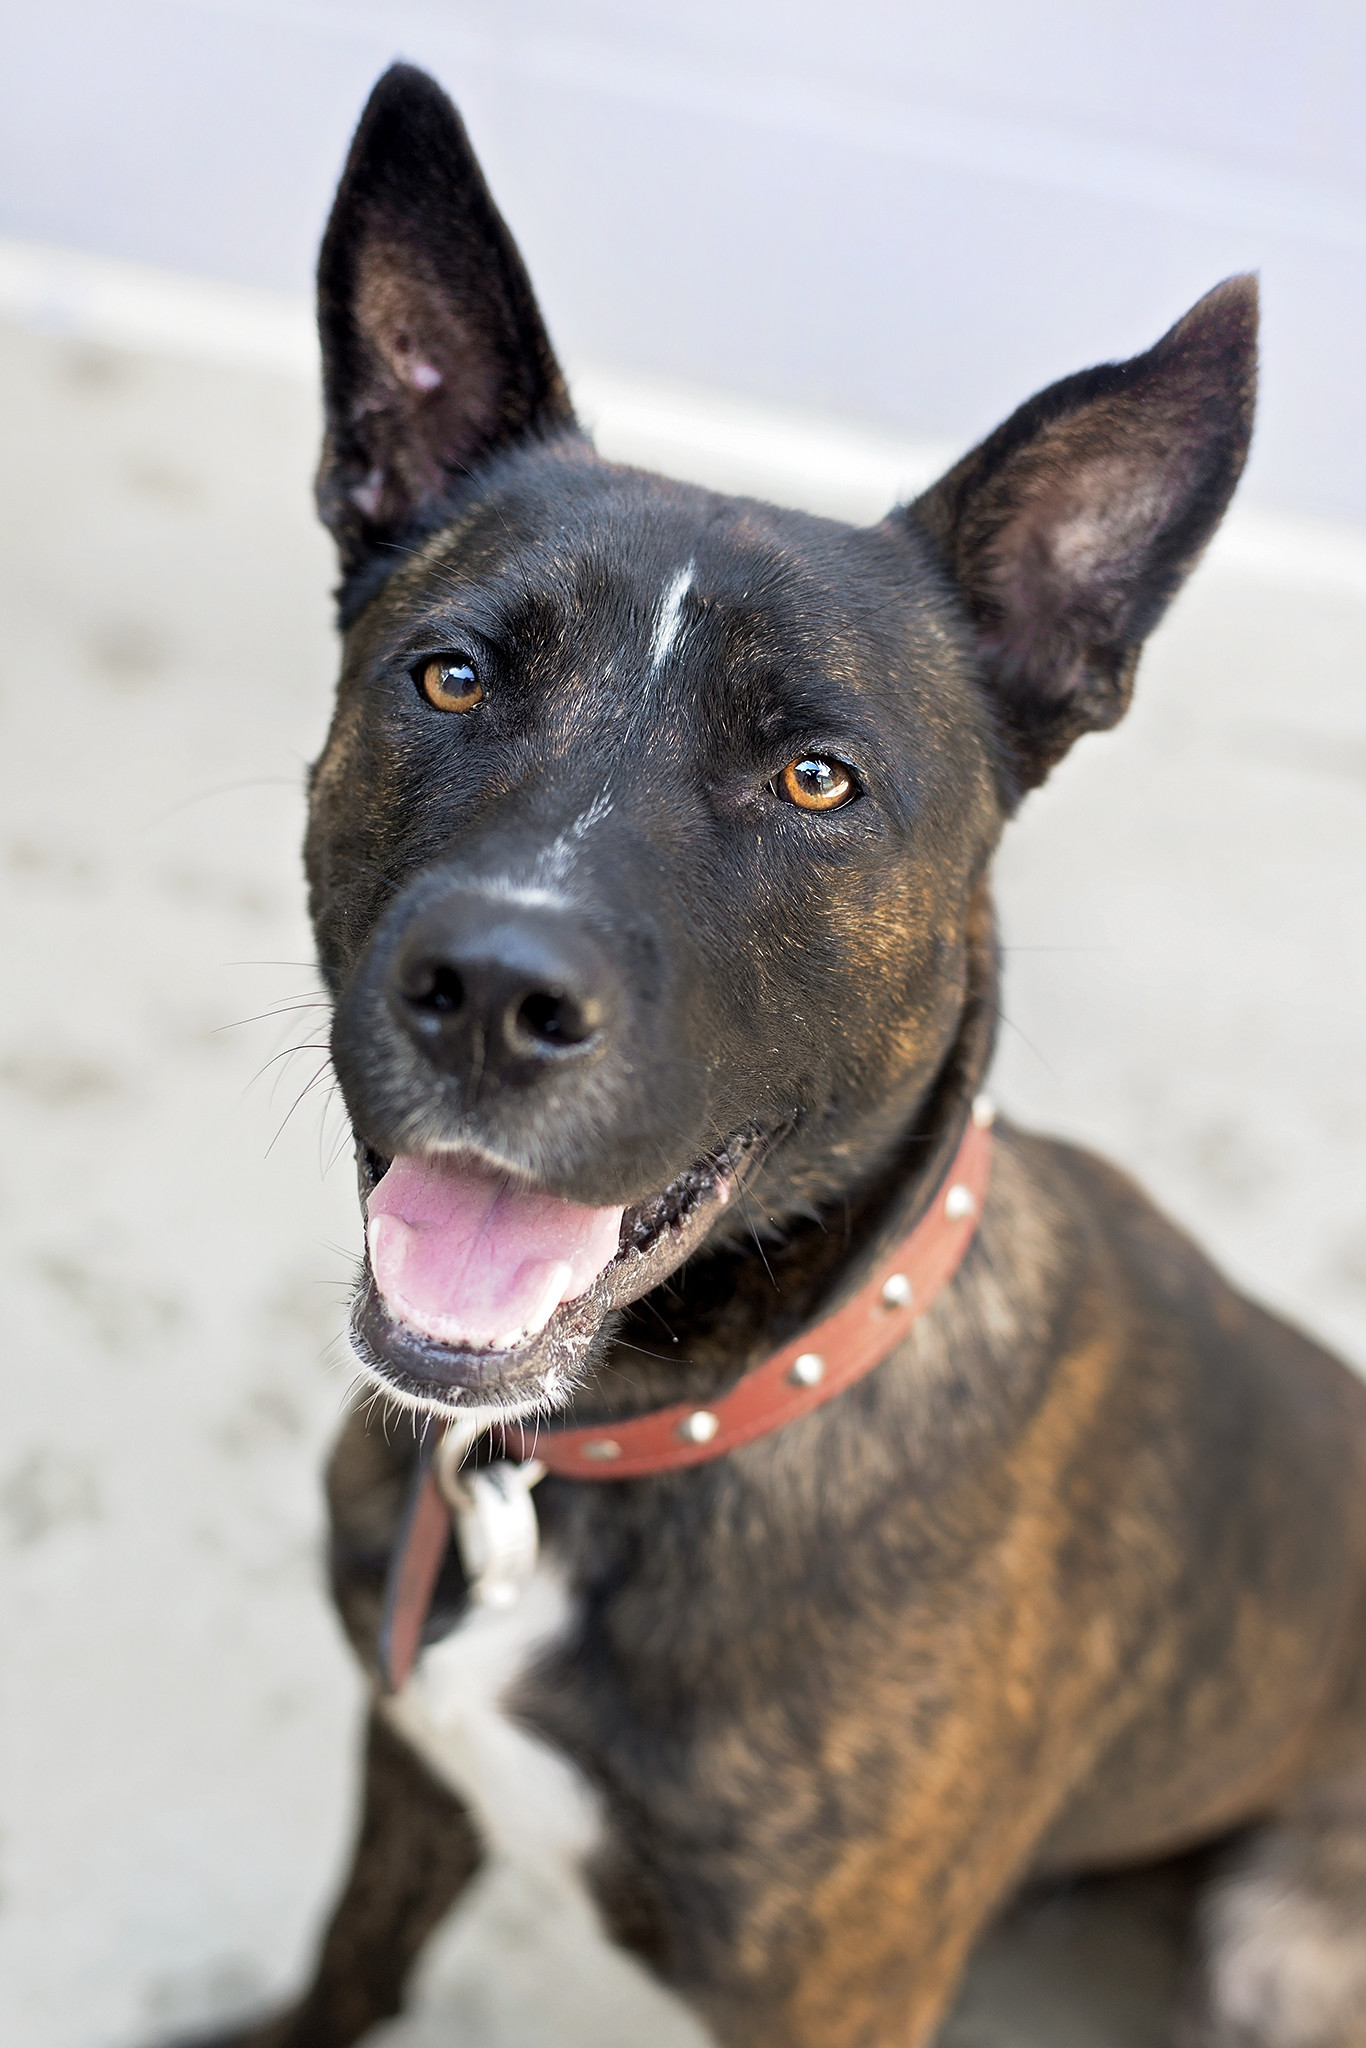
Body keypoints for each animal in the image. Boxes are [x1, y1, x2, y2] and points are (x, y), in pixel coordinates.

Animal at [194, 62, 1366, 2048]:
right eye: (450, 677)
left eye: (815, 778)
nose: (490, 989)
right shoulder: (411, 1754)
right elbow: (354, 1960)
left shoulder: (838, 1993)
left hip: (1286, 1943)